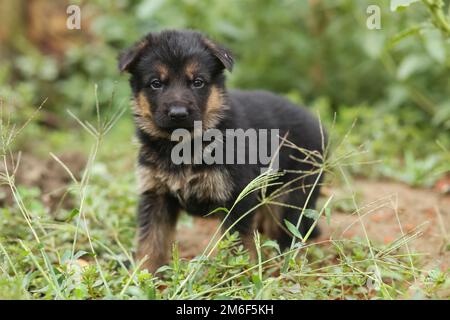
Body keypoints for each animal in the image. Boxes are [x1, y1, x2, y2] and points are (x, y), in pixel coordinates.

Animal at [118, 30, 326, 272]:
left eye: (198, 82)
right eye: (156, 83)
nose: (178, 113)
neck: (184, 145)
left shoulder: (236, 197)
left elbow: (237, 245)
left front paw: (236, 273)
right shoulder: (156, 195)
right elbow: (151, 240)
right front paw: (144, 274)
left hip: (292, 196)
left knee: (290, 233)